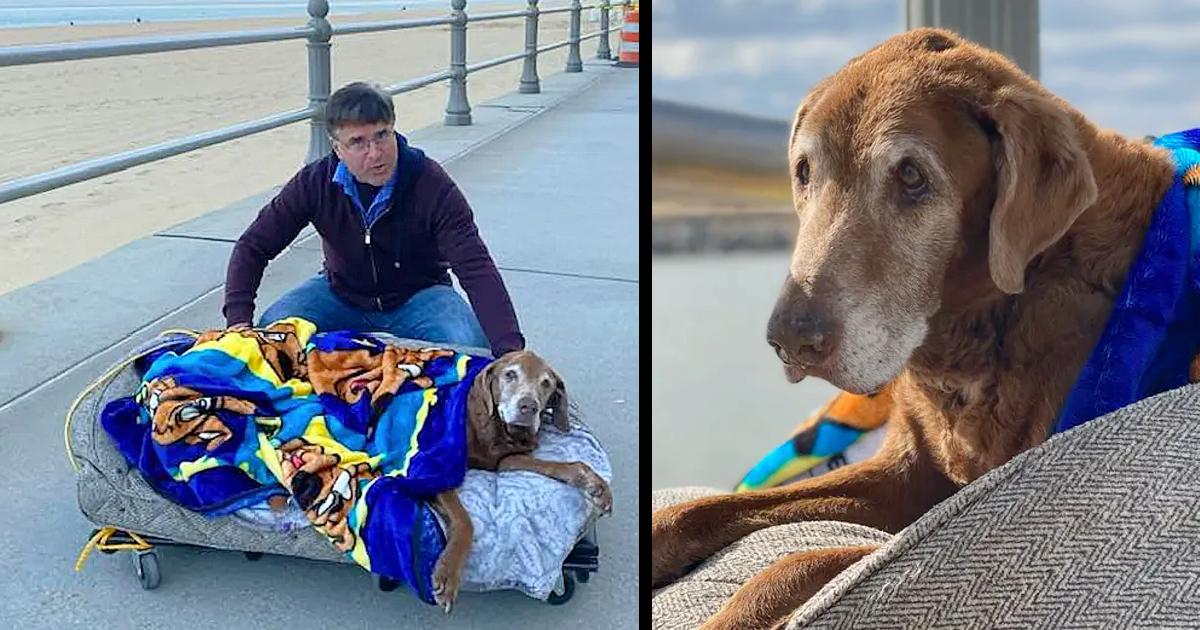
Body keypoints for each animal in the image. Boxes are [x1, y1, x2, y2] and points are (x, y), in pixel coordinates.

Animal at [119, 319, 609, 609]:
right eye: (510, 375)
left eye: (546, 385)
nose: (528, 408)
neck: (490, 427)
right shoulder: (432, 466)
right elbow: (467, 522)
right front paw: (446, 575)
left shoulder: (505, 460)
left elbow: (563, 467)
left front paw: (596, 487)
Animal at [652, 27, 1200, 624]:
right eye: (804, 172)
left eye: (911, 175)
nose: (790, 340)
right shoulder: (902, 476)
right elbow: (706, 508)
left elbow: (798, 561)